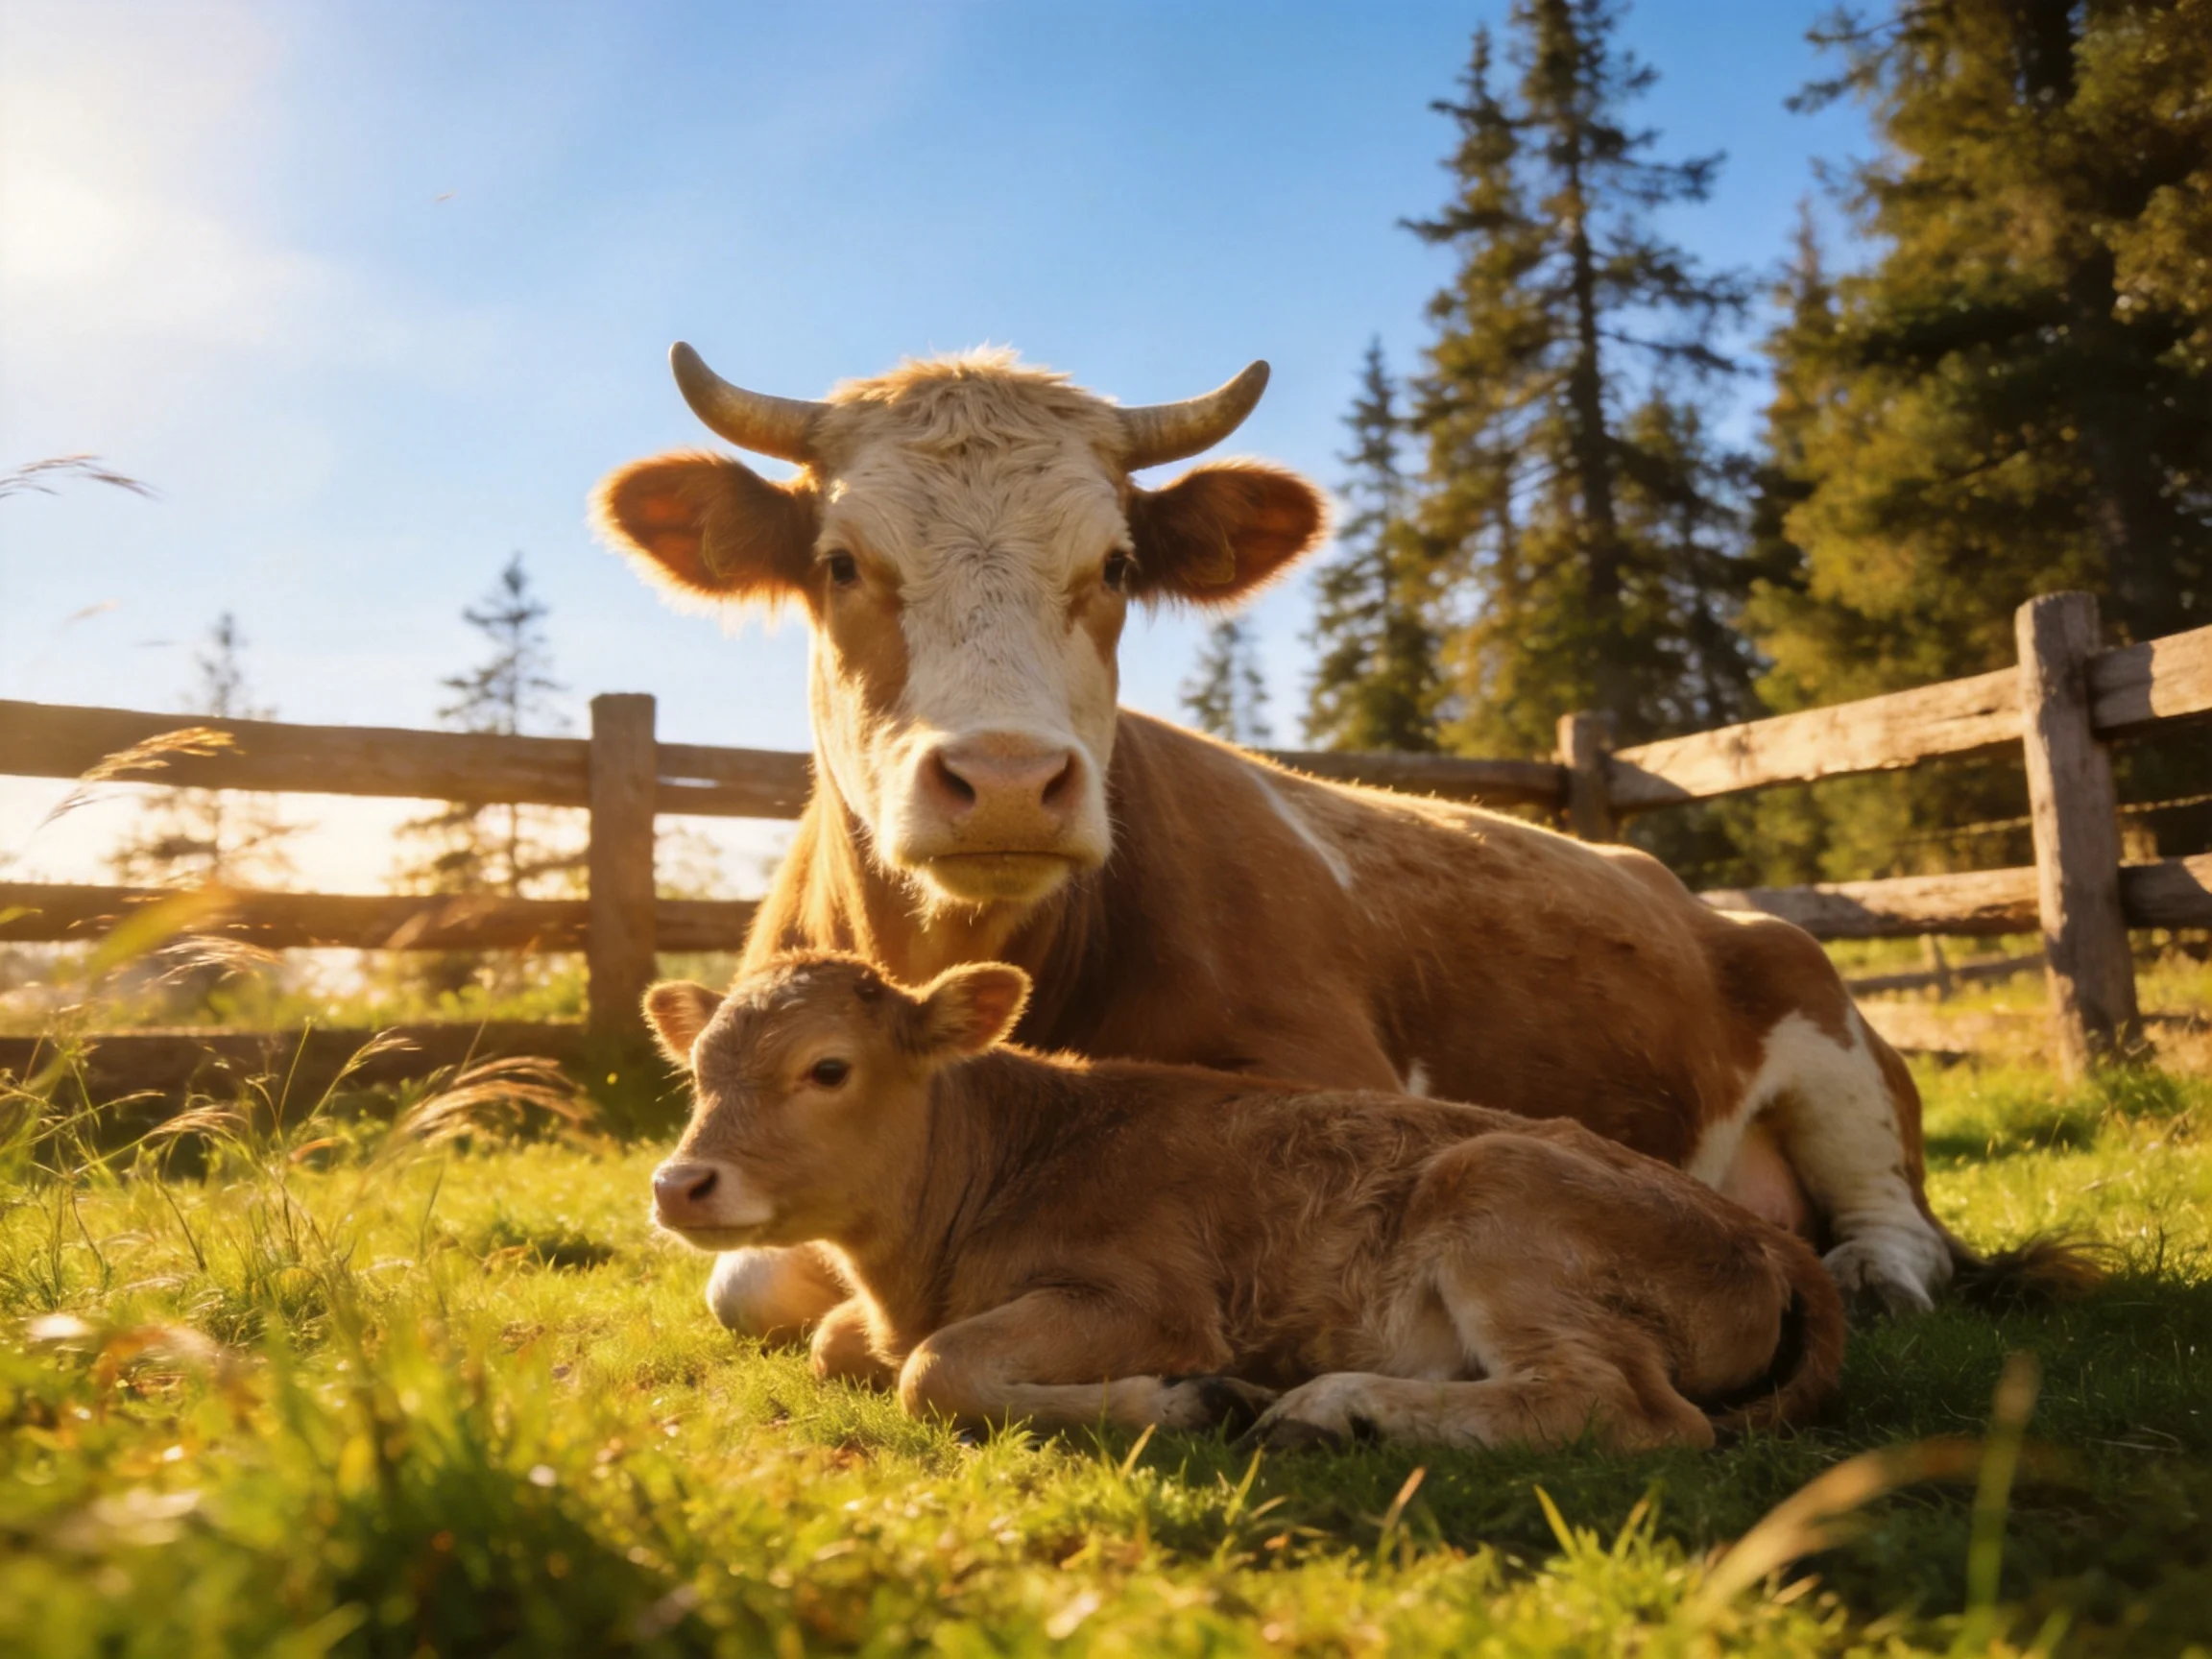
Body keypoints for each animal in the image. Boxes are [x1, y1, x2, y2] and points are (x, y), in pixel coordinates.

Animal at [595, 343, 2077, 1333]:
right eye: (841, 564)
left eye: (1116, 566)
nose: (1009, 780)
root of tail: (1685, 885)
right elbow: (748, 1276)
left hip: (1828, 1029)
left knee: (1900, 1222)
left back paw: (1870, 1271)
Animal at [643, 951, 1847, 1450]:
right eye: (697, 1071)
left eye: (828, 1068)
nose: (678, 1182)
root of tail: (1765, 1237)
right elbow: (838, 1344)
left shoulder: (1150, 1299)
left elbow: (933, 1373)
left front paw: (1187, 1400)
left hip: (1499, 1194)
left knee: (1624, 1409)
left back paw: (1334, 1408)